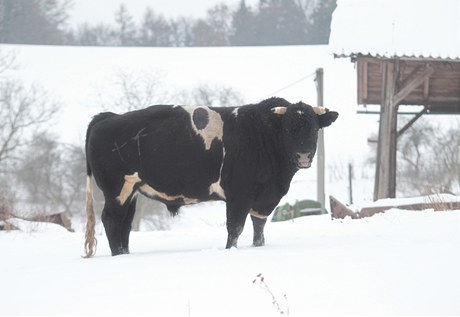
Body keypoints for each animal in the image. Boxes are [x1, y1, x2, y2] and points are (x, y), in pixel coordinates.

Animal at [84, 97, 338, 256]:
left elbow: (259, 228)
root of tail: (107, 117)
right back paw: (118, 256)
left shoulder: (263, 200)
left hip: (132, 191)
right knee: (112, 221)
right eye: (287, 129)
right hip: (116, 190)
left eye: (314, 129)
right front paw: (230, 251)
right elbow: (235, 228)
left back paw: (124, 254)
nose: (303, 155)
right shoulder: (239, 195)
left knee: (124, 225)